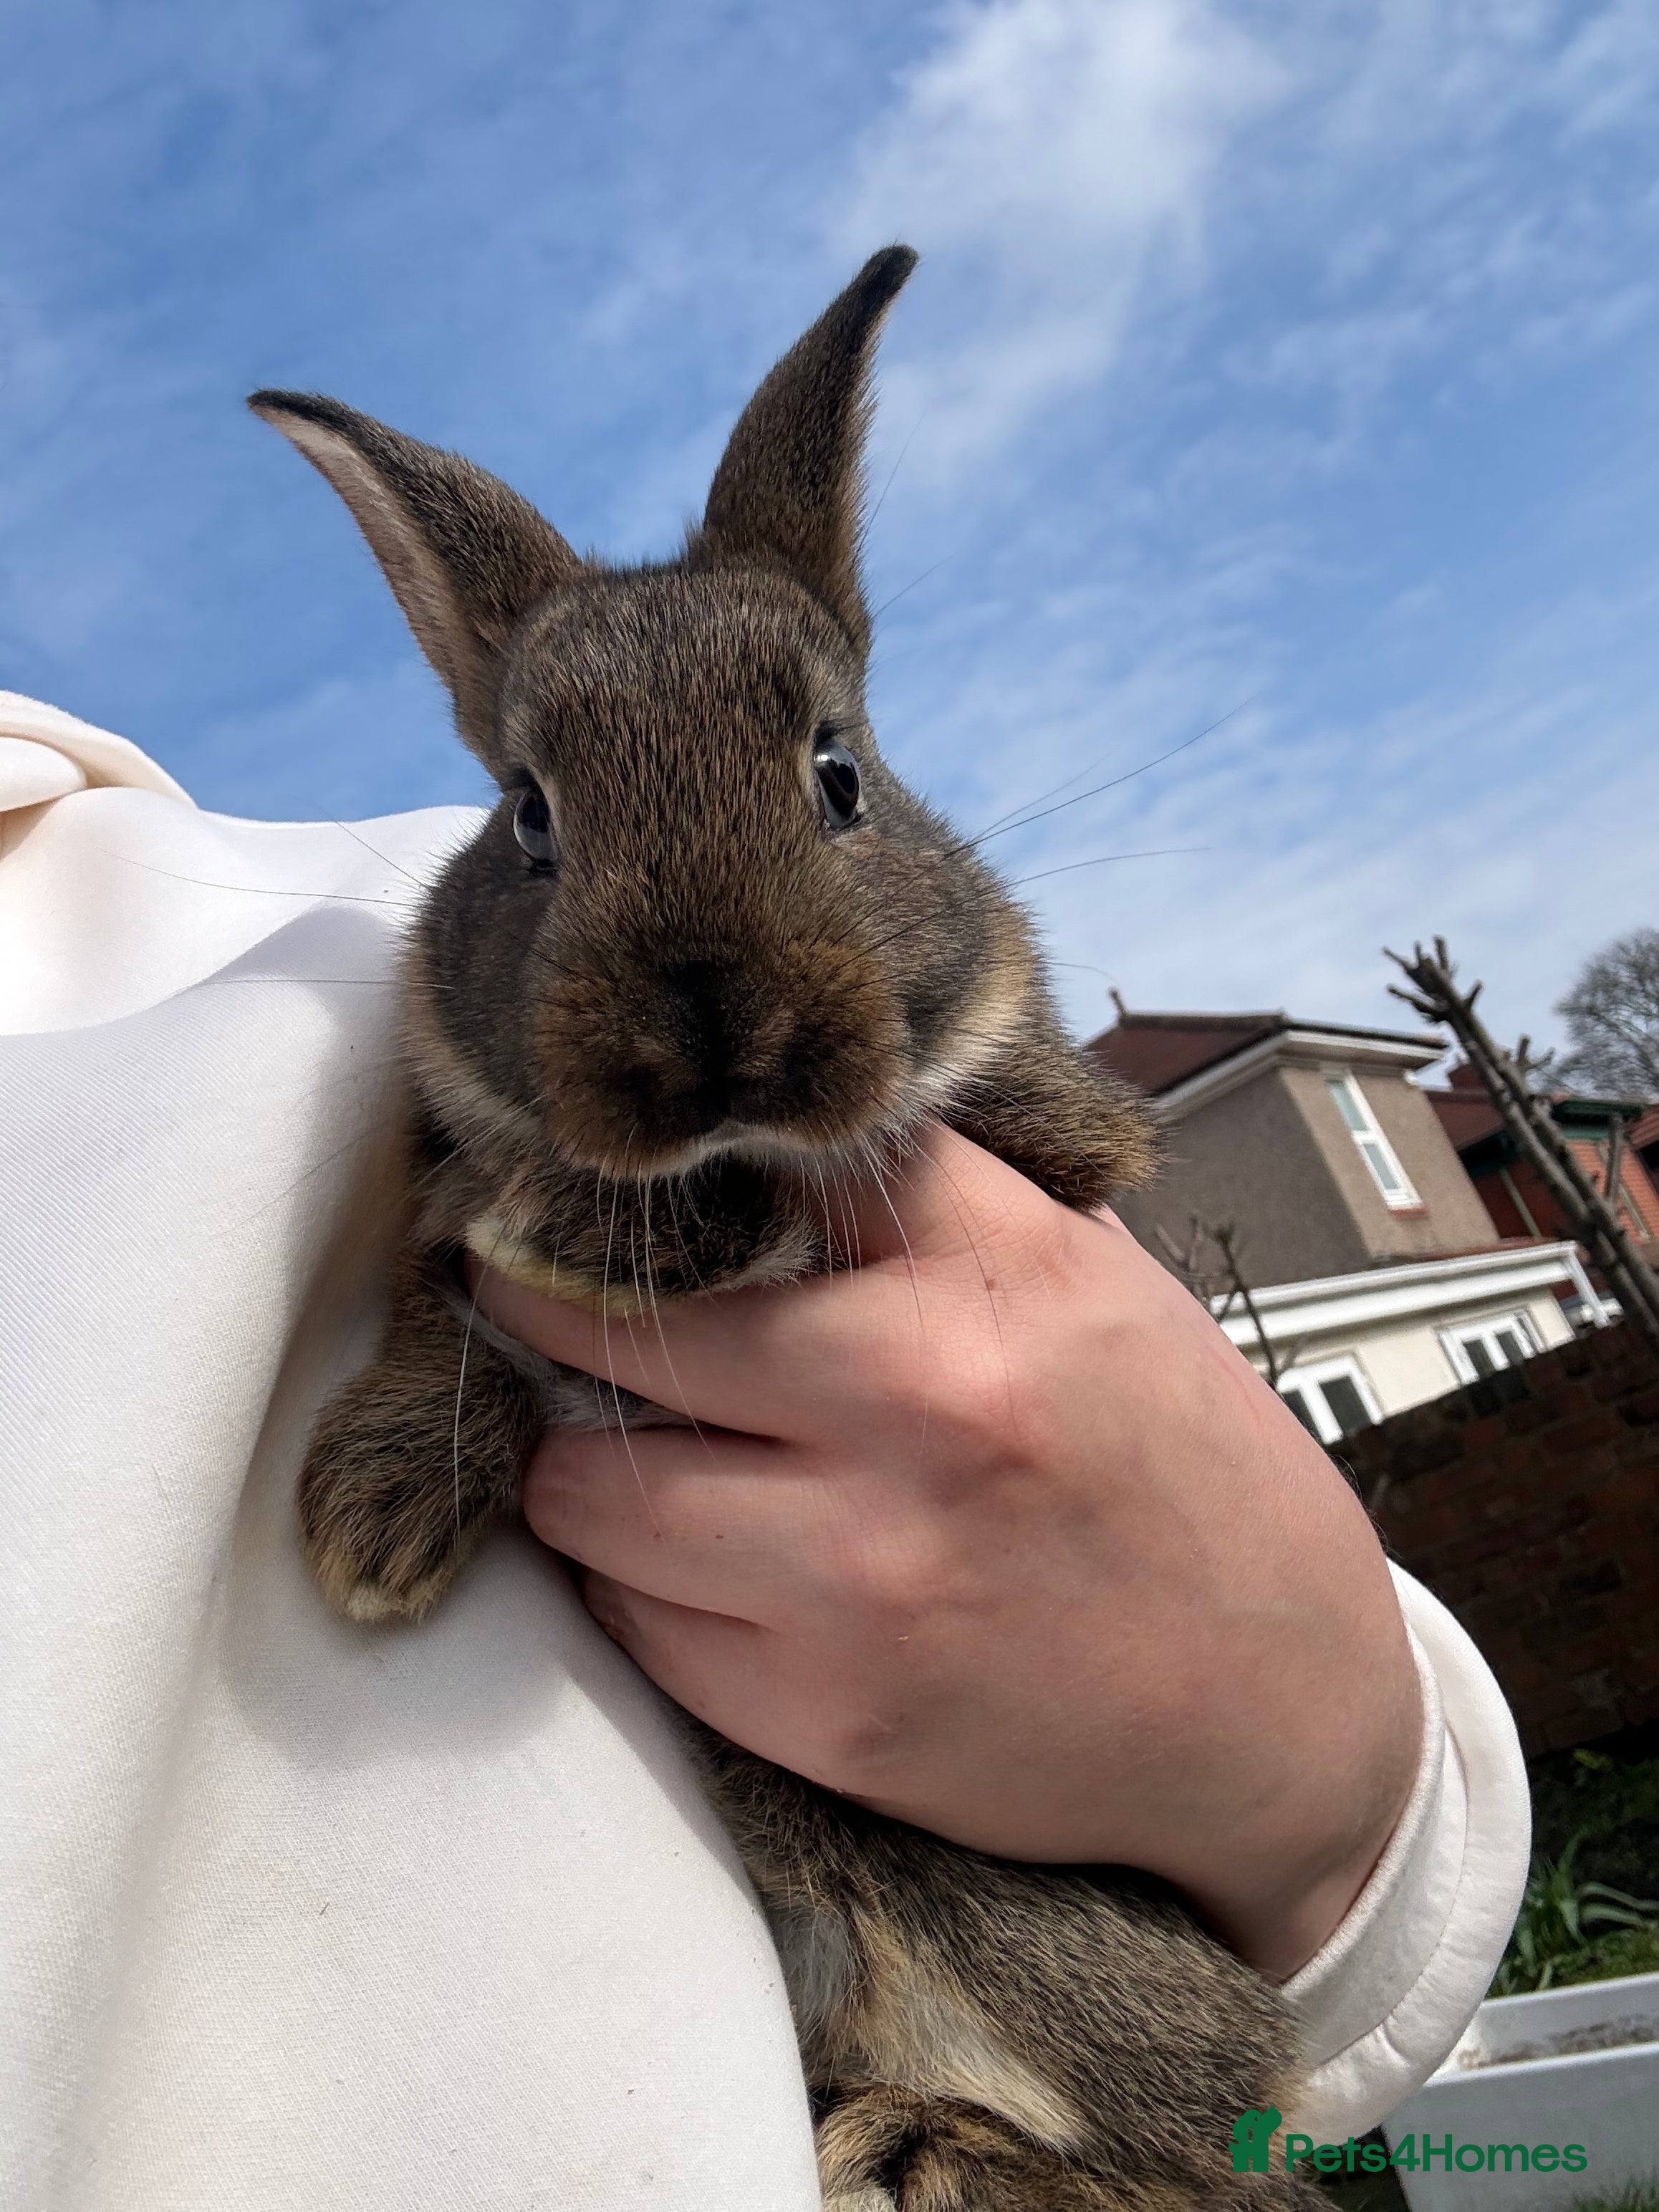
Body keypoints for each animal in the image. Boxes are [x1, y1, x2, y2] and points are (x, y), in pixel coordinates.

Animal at [252, 247, 1318, 2212]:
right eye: (528, 817)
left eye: (836, 774)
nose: (715, 1030)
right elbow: (446, 1298)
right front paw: (374, 1516)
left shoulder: (1040, 1133)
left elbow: (802, 1180)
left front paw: (592, 1237)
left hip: (1008, 1926)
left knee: (1197, 2157)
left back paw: (924, 2150)